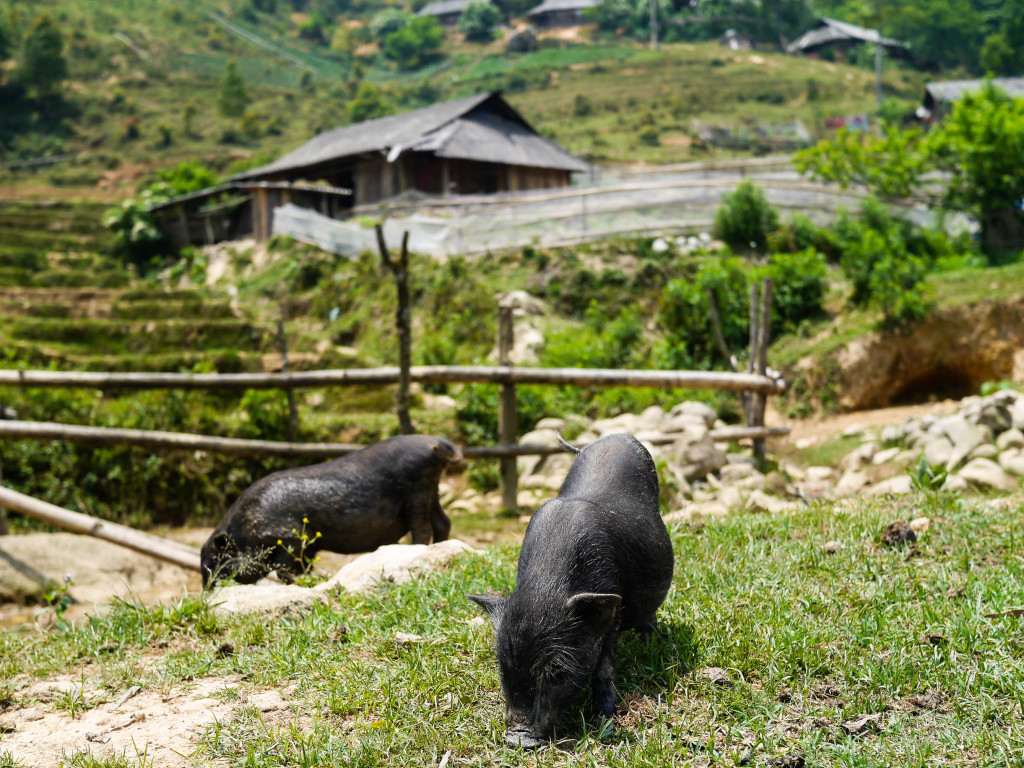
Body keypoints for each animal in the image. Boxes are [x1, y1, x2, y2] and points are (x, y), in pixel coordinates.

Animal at [200, 434, 464, 589]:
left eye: (214, 563)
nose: (206, 590)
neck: (247, 533)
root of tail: (437, 444)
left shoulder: (291, 537)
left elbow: (283, 569)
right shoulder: (308, 546)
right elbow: (301, 567)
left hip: (418, 490)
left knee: (423, 528)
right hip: (432, 490)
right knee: (444, 521)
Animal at [468, 436, 671, 749]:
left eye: (557, 670)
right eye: (503, 665)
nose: (517, 738)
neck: (545, 584)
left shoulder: (611, 604)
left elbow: (604, 668)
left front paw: (605, 726)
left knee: (649, 618)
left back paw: (648, 643)